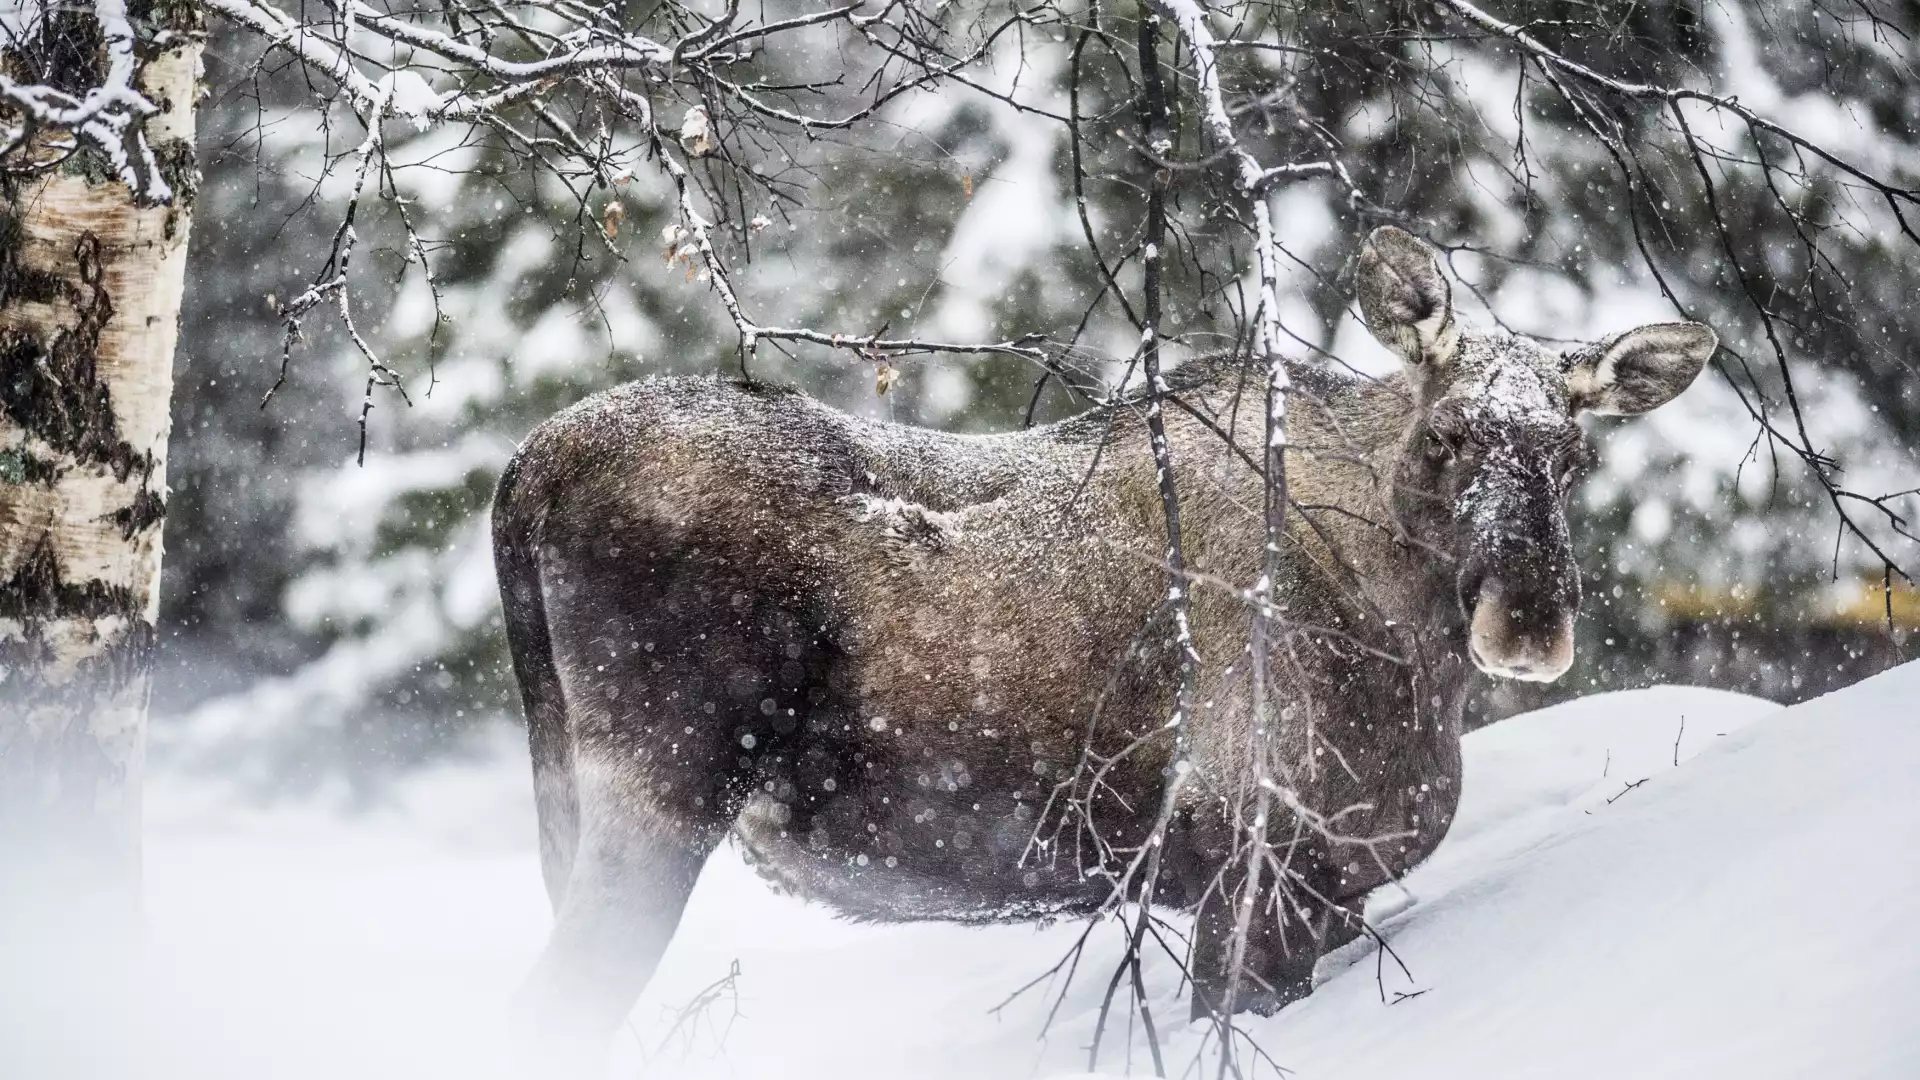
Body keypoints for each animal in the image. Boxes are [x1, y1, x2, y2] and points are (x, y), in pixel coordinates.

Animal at [491, 226, 1712, 1053]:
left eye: (1575, 455)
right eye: (1452, 432)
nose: (1530, 620)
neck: (1407, 644)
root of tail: (527, 469)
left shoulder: (1329, 890)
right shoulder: (1259, 867)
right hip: (658, 791)